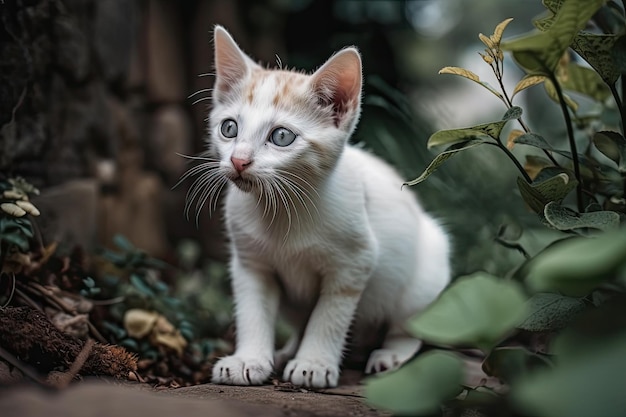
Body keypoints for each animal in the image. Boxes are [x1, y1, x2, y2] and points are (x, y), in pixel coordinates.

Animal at [185, 27, 448, 388]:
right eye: (229, 128)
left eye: (281, 136)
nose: (238, 161)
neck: (282, 209)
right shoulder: (249, 263)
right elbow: (253, 310)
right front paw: (250, 359)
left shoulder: (355, 262)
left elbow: (329, 316)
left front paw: (314, 363)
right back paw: (286, 351)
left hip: (422, 280)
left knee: (409, 327)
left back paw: (390, 354)